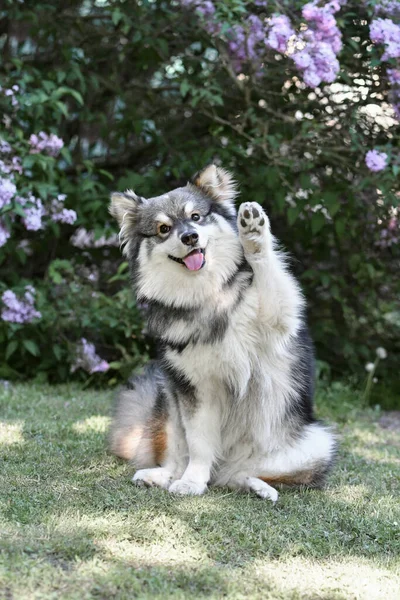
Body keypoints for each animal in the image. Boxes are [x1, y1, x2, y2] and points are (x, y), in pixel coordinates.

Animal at [108, 164, 336, 502]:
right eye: (163, 229)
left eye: (196, 216)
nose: (189, 236)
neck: (209, 295)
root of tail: (226, 467)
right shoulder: (195, 389)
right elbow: (199, 446)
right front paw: (191, 481)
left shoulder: (278, 319)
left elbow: (268, 272)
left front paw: (253, 232)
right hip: (169, 404)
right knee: (180, 460)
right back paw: (160, 476)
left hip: (316, 444)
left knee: (253, 475)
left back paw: (259, 487)